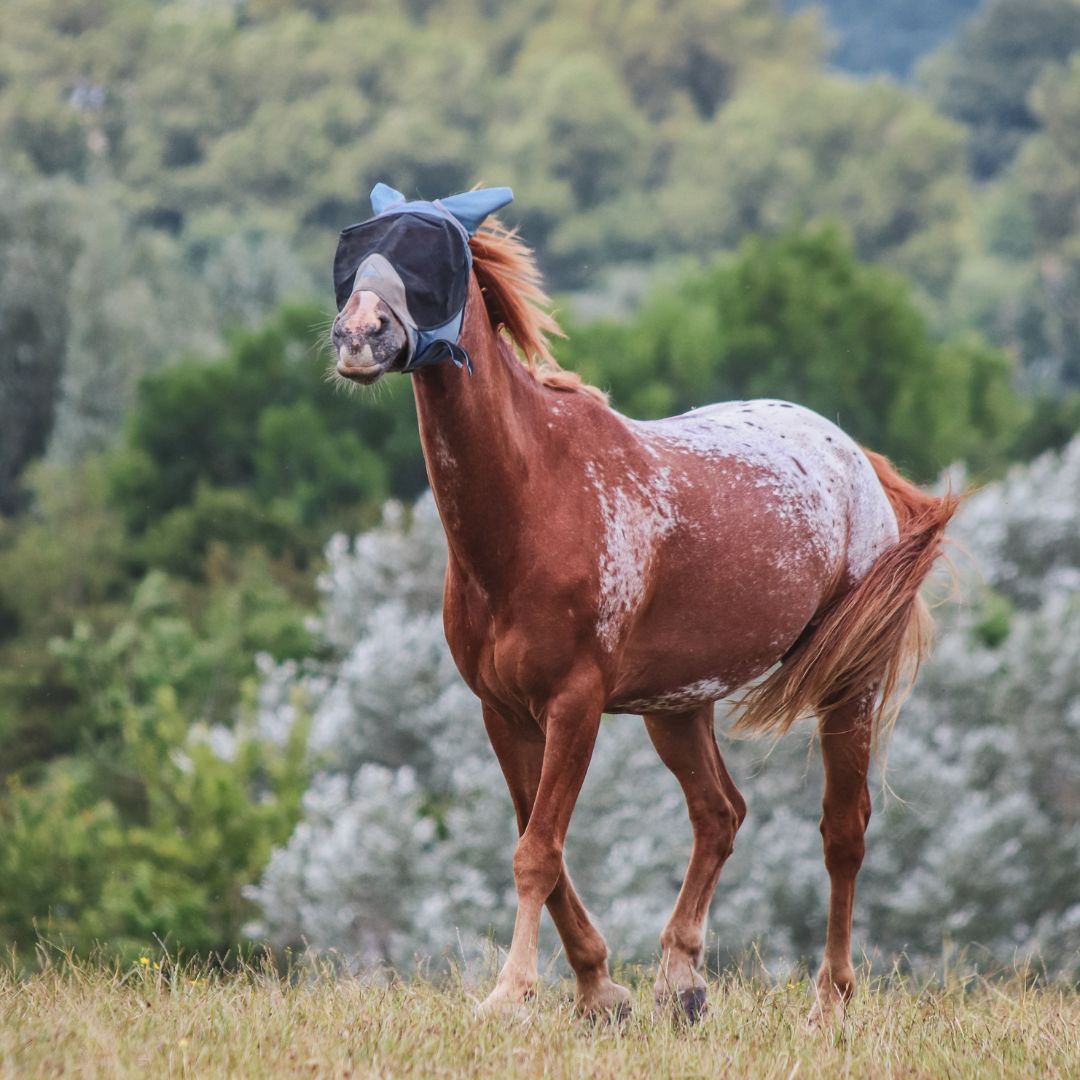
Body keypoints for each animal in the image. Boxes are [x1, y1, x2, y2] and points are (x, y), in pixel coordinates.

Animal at [330, 185, 958, 1023]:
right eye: (357, 250)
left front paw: (511, 993)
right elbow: (543, 847)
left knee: (843, 831)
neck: (536, 501)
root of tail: (856, 458)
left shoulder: (575, 705)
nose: (358, 335)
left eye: (431, 259)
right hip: (678, 709)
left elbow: (537, 852)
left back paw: (829, 999)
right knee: (721, 813)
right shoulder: (503, 713)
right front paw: (600, 989)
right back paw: (681, 980)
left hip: (846, 690)